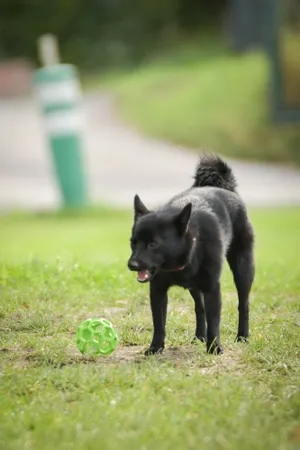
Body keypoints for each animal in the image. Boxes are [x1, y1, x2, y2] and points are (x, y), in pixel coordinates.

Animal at [127, 155, 254, 356]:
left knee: (244, 304)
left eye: (153, 244)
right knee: (199, 308)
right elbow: (159, 323)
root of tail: (227, 188)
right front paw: (156, 347)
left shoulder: (212, 288)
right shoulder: (157, 291)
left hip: (243, 269)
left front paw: (214, 347)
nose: (132, 265)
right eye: (133, 242)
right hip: (195, 286)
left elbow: (214, 323)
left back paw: (242, 336)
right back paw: (199, 336)